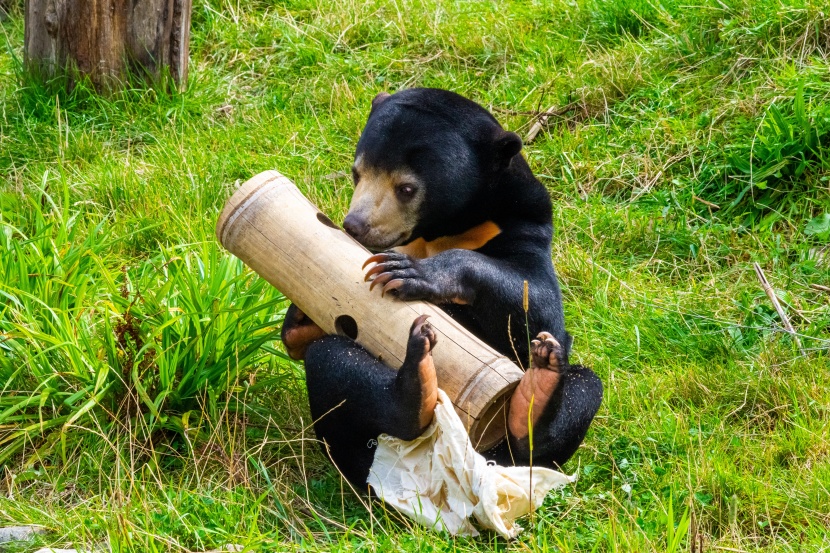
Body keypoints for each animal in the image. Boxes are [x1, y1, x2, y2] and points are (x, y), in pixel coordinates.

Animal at [282, 87, 604, 488]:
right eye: (357, 174)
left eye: (406, 188)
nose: (355, 225)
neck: (440, 232)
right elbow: (302, 338)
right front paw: (299, 311)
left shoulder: (525, 224)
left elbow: (538, 305)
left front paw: (409, 273)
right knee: (333, 359)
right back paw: (415, 390)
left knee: (582, 388)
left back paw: (536, 392)